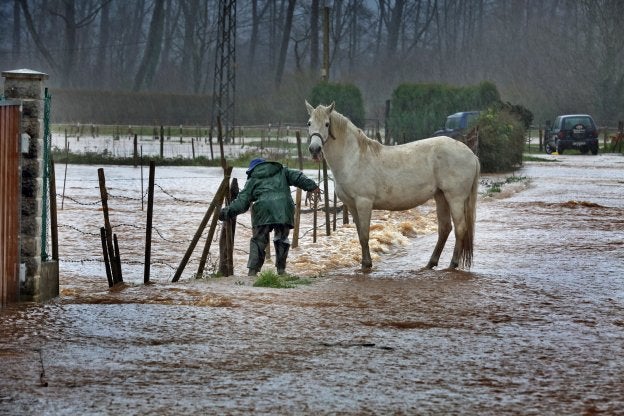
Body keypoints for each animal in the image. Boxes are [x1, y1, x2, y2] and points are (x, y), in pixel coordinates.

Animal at [304, 100, 480, 270]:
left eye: (327, 124)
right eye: (309, 123)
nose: (314, 149)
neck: (354, 158)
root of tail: (471, 154)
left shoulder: (364, 202)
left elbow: (365, 235)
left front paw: (366, 265)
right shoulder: (352, 205)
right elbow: (360, 234)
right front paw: (365, 263)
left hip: (455, 198)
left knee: (460, 229)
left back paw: (453, 264)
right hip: (441, 196)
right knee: (445, 229)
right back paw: (431, 263)